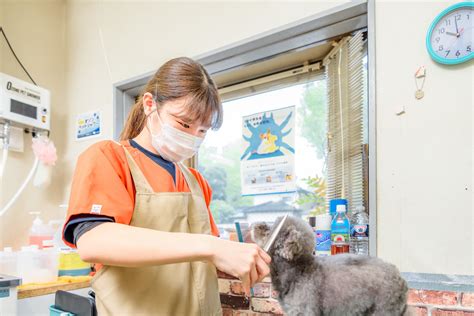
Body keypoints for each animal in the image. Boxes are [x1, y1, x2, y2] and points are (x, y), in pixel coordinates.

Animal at [250, 216, 410, 314]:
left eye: (270, 230)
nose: (256, 224)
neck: (297, 270)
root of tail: (399, 276)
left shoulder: (305, 310)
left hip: (384, 308)